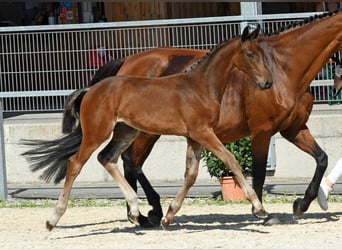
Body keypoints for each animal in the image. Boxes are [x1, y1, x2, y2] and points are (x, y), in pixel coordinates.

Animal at [22, 25, 272, 230]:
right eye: (250, 54)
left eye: (263, 55)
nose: (267, 82)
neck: (200, 86)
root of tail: (90, 90)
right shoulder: (202, 132)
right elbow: (231, 160)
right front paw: (259, 208)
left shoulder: (194, 137)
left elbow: (190, 174)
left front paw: (168, 217)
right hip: (98, 133)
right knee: (76, 163)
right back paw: (53, 219)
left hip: (126, 131)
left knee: (108, 158)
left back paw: (135, 210)